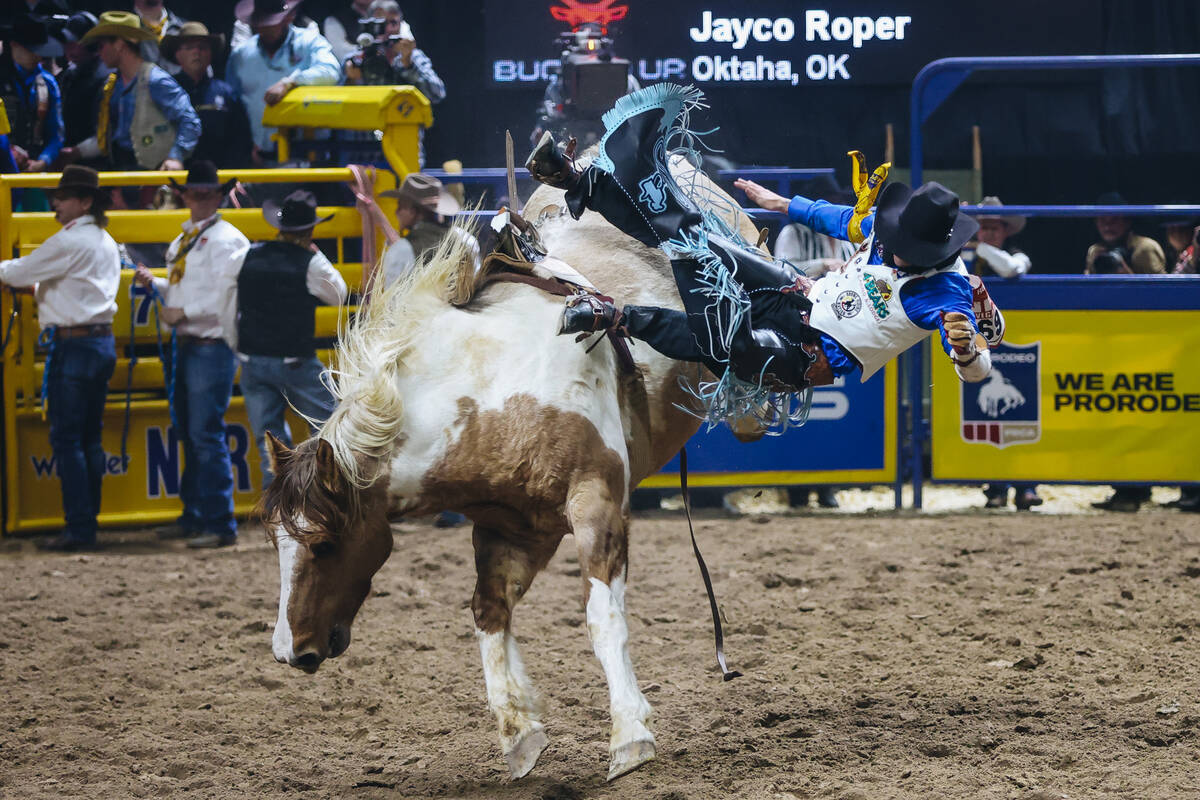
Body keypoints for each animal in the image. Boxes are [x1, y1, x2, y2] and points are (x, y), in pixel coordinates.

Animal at [261, 153, 763, 777]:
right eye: (276, 542)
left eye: (325, 544)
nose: (290, 651)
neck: (492, 387)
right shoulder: (515, 528)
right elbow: (488, 612)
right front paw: (521, 733)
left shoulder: (597, 500)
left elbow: (602, 617)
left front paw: (629, 736)